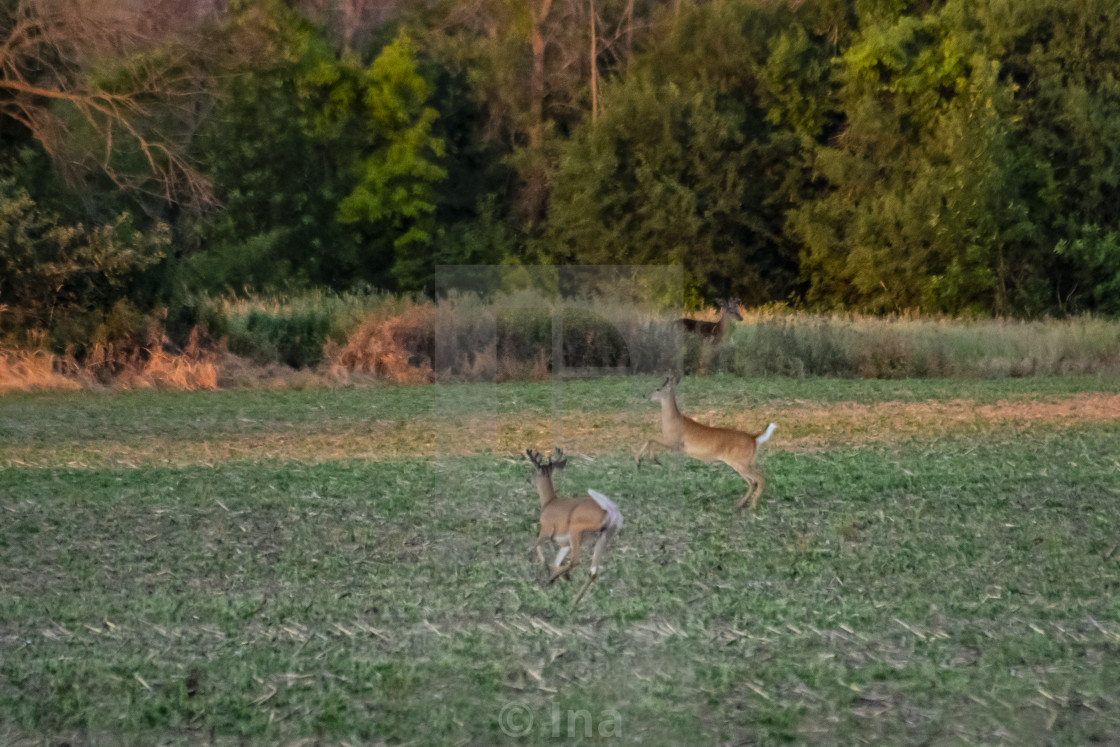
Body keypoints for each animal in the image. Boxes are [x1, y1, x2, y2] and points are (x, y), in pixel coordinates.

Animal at [521, 450, 622, 609]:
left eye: (533, 471)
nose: (528, 479)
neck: (548, 503)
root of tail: (612, 513)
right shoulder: (565, 544)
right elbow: (556, 562)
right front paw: (555, 577)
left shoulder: (546, 529)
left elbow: (537, 545)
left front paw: (547, 570)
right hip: (604, 536)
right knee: (593, 572)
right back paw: (572, 600)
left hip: (576, 530)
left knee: (576, 561)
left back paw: (556, 580)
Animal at [636, 376, 775, 510]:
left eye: (657, 389)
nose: (644, 395)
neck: (672, 420)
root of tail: (754, 438)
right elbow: (651, 438)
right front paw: (648, 461)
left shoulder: (674, 442)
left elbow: (650, 437)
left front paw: (645, 460)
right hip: (744, 462)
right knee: (753, 481)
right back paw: (740, 504)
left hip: (741, 462)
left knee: (760, 479)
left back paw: (752, 506)